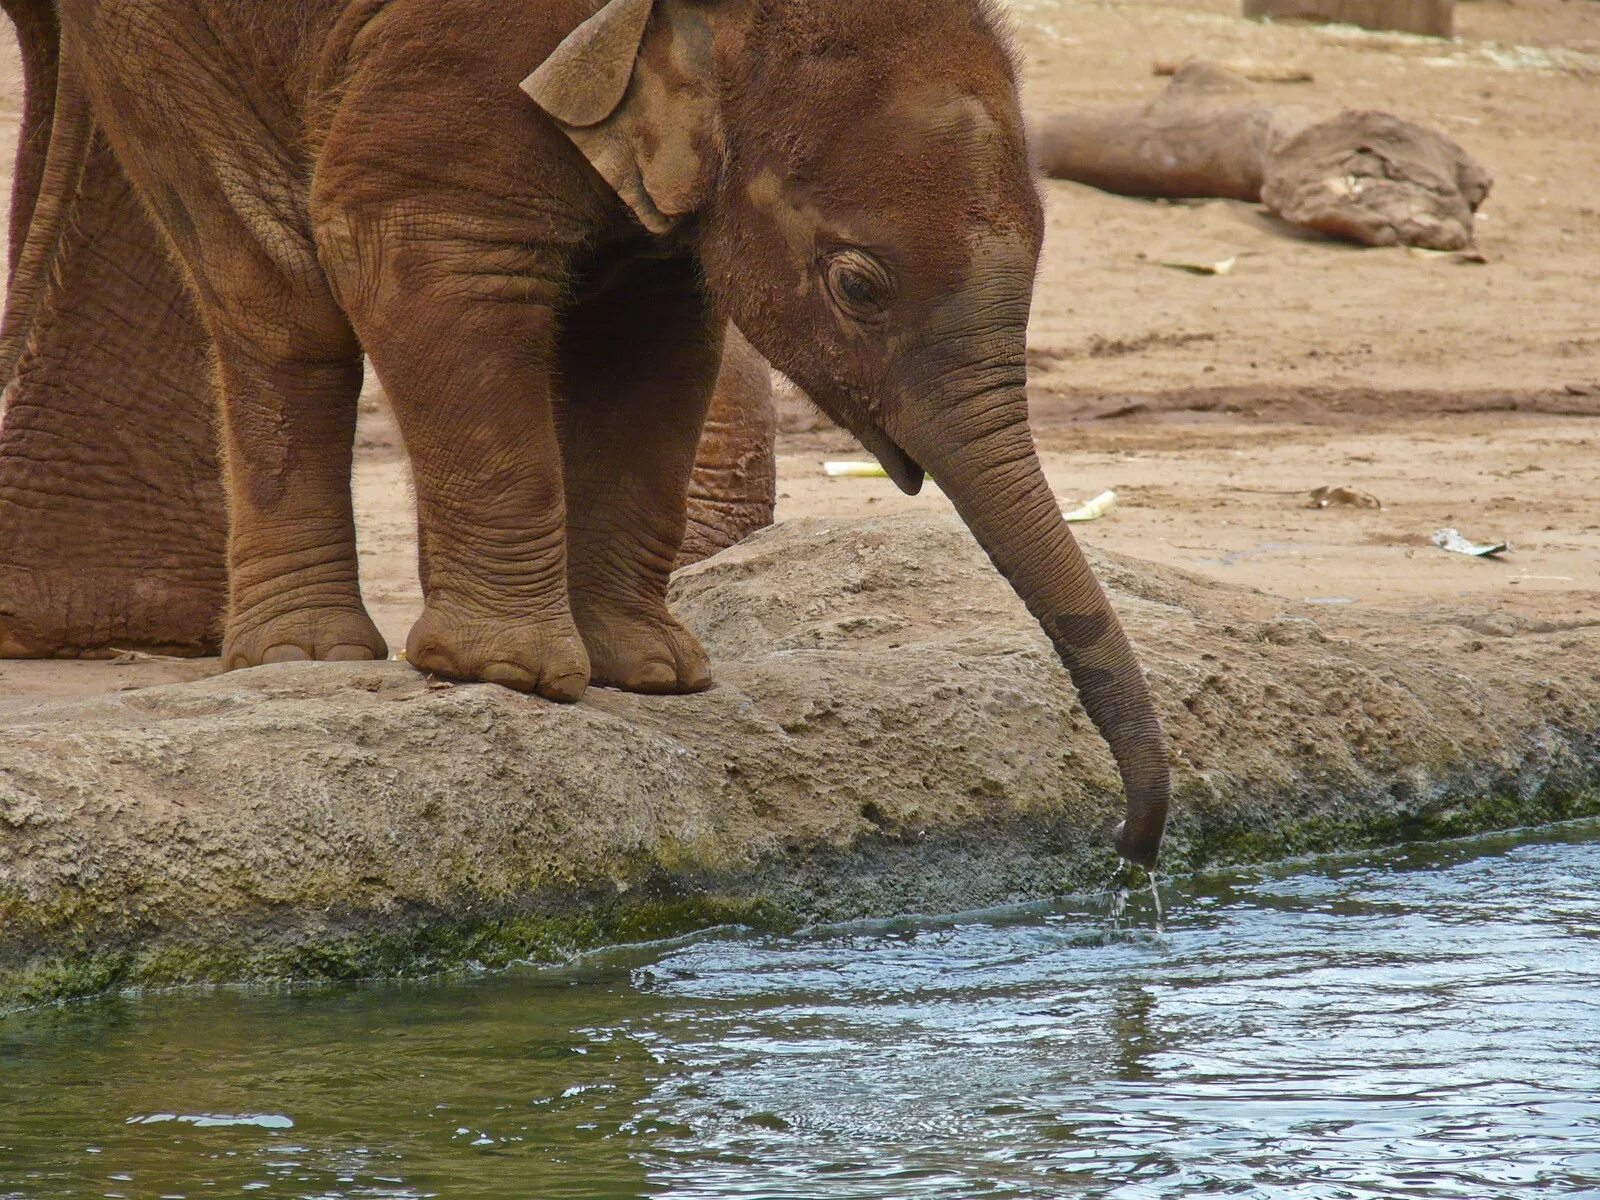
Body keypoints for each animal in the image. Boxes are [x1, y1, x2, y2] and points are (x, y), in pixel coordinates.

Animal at [0, 0, 1177, 870]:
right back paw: (303, 657)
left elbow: (655, 335)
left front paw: (650, 676)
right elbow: (410, 247)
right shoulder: (463, 58)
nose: (1125, 851)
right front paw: (512, 676)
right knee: (279, 288)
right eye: (858, 286)